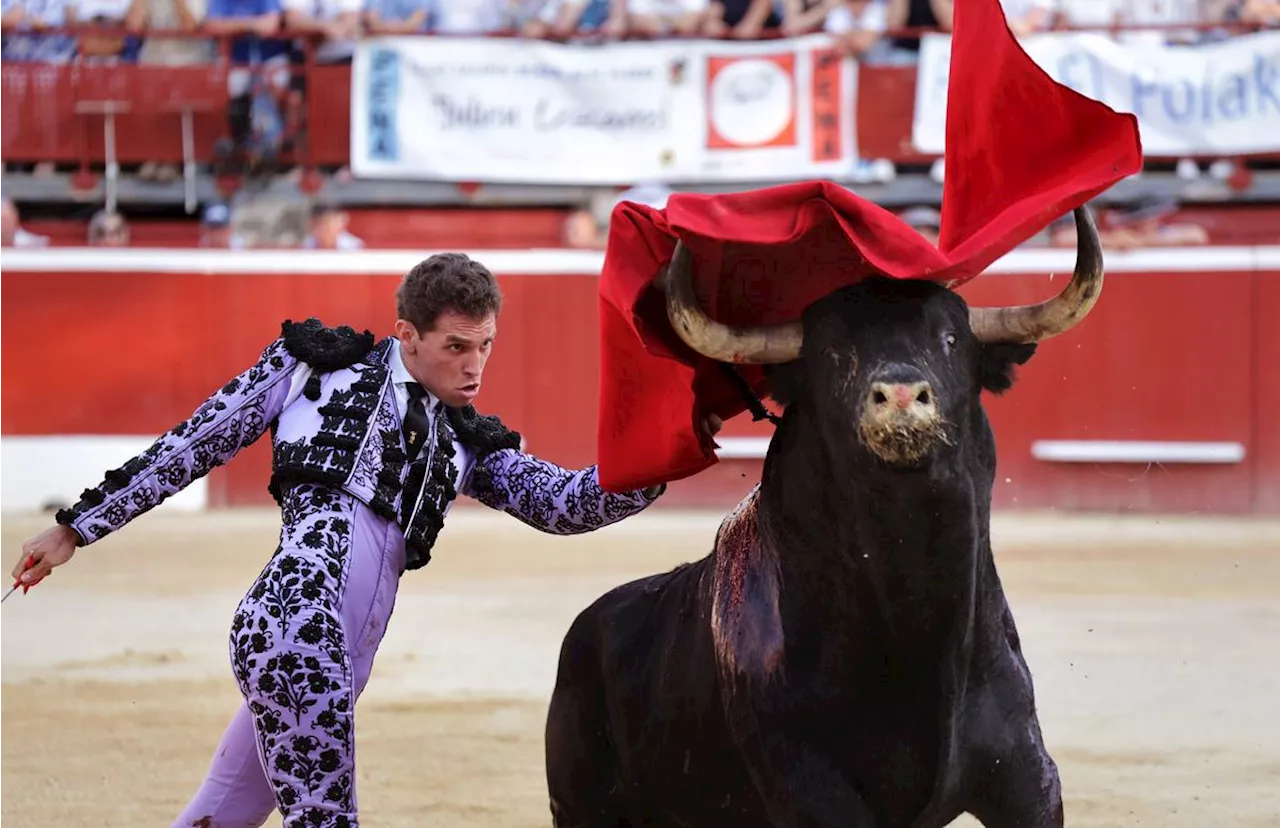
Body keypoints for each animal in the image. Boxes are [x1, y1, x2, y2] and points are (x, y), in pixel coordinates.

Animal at [545, 208, 1105, 828]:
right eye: (834, 353)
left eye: (950, 339)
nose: (902, 396)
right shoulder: (806, 783)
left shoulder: (1026, 774)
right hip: (581, 807)